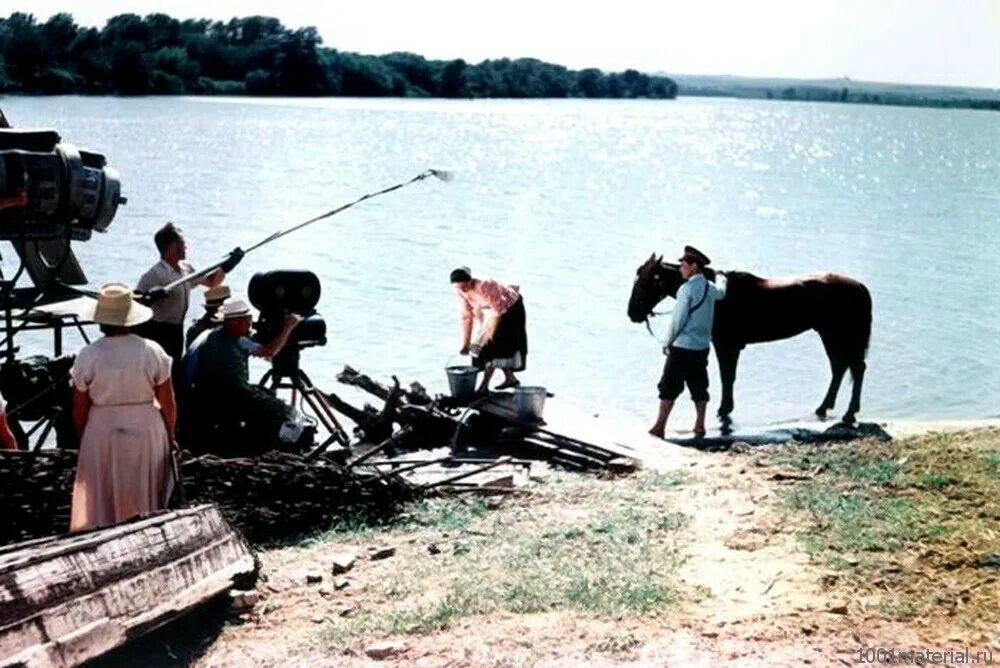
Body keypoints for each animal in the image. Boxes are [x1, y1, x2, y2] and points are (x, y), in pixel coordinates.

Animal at [628, 253, 872, 426]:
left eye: (644, 282)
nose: (632, 314)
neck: (717, 295)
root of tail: (860, 287)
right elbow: (729, 377)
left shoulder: (726, 346)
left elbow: (727, 377)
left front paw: (724, 409)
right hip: (829, 335)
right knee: (840, 367)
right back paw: (825, 407)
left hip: (840, 336)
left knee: (855, 368)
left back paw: (849, 413)